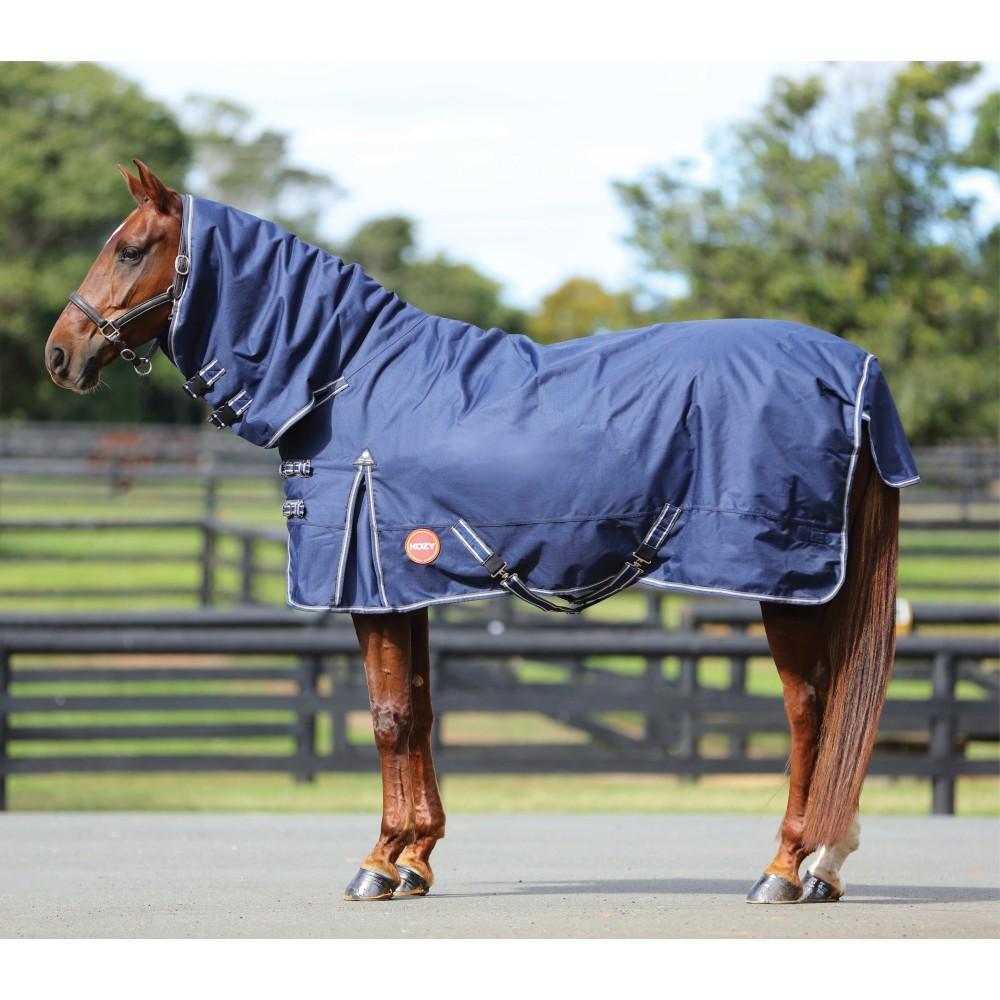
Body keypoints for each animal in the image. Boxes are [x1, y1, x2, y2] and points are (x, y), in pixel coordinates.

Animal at [44, 160, 919, 905]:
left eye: (129, 249)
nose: (60, 354)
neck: (345, 375)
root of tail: (858, 371)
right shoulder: (402, 585)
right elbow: (420, 710)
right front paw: (415, 859)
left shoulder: (370, 581)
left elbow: (388, 717)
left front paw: (376, 865)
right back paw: (824, 868)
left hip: (786, 586)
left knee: (810, 710)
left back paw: (785, 867)